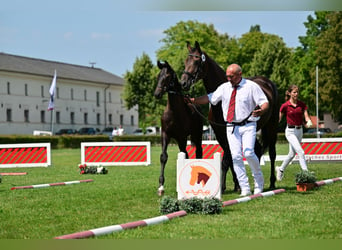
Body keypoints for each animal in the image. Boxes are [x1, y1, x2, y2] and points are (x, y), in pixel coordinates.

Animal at [154, 60, 203, 195]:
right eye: (158, 76)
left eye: (167, 77)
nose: (157, 94)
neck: (173, 112)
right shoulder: (165, 135)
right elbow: (163, 157)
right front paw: (161, 187)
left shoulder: (182, 137)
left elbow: (185, 155)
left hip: (196, 135)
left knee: (197, 152)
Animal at [180, 42, 280, 192]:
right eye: (186, 61)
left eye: (197, 61)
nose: (183, 83)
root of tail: (267, 83)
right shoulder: (221, 133)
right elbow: (231, 159)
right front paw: (236, 184)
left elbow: (227, 160)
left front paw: (226, 187)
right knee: (257, 150)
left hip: (272, 126)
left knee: (272, 153)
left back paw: (272, 182)